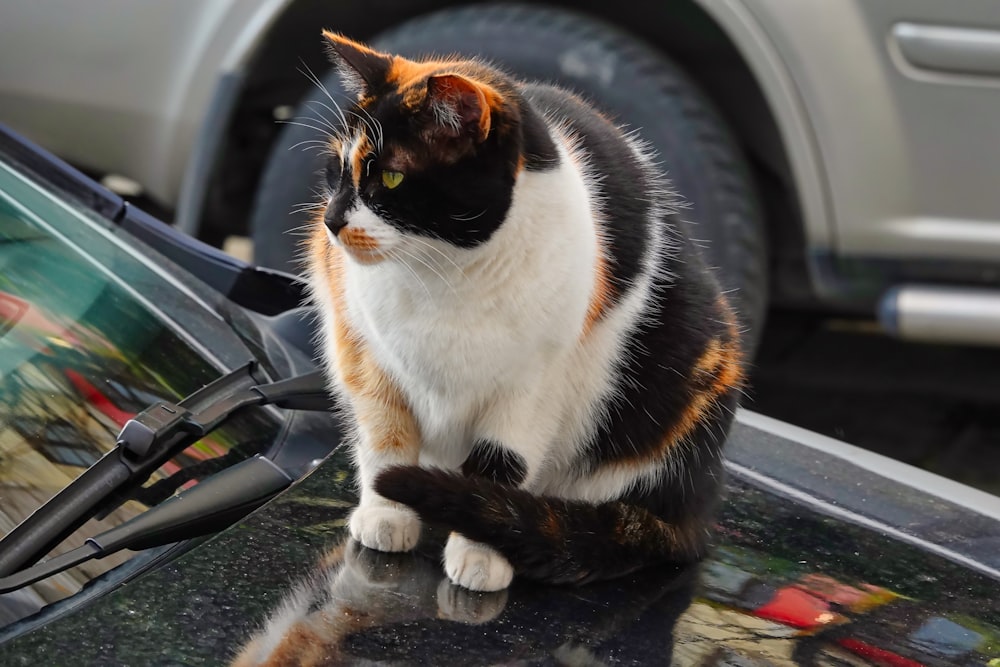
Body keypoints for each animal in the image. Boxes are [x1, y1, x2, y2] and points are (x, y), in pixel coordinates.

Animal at [308, 31, 748, 596]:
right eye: (336, 170)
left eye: (390, 177)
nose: (331, 220)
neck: (442, 272)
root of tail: (698, 512)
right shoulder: (366, 353)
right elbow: (386, 437)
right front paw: (387, 514)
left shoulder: (535, 387)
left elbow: (498, 465)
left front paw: (480, 552)